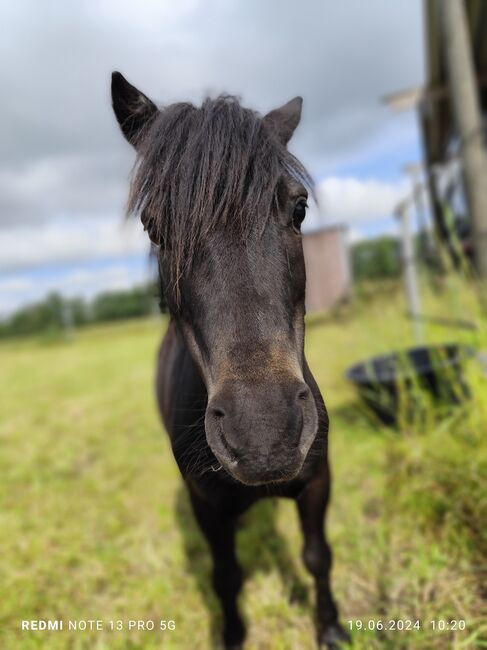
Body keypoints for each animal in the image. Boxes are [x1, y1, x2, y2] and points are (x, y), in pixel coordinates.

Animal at [112, 72, 348, 648]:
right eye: (155, 227)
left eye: (299, 208)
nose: (264, 434)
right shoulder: (206, 506)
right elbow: (226, 577)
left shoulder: (318, 481)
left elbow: (317, 556)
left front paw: (331, 627)